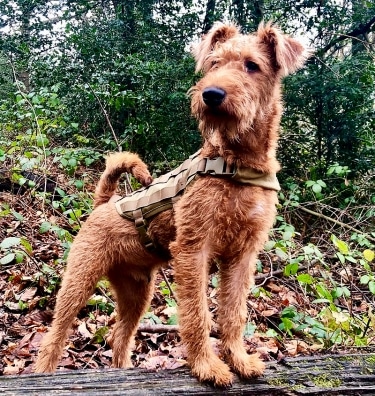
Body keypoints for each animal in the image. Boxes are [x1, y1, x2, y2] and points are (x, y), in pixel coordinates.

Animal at [34, 22, 306, 386]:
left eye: (252, 65)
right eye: (214, 63)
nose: (211, 94)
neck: (236, 164)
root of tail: (104, 203)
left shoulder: (243, 255)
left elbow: (234, 313)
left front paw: (239, 359)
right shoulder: (193, 248)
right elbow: (197, 314)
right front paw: (207, 365)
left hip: (137, 292)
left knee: (120, 336)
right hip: (79, 279)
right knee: (55, 334)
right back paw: (42, 375)